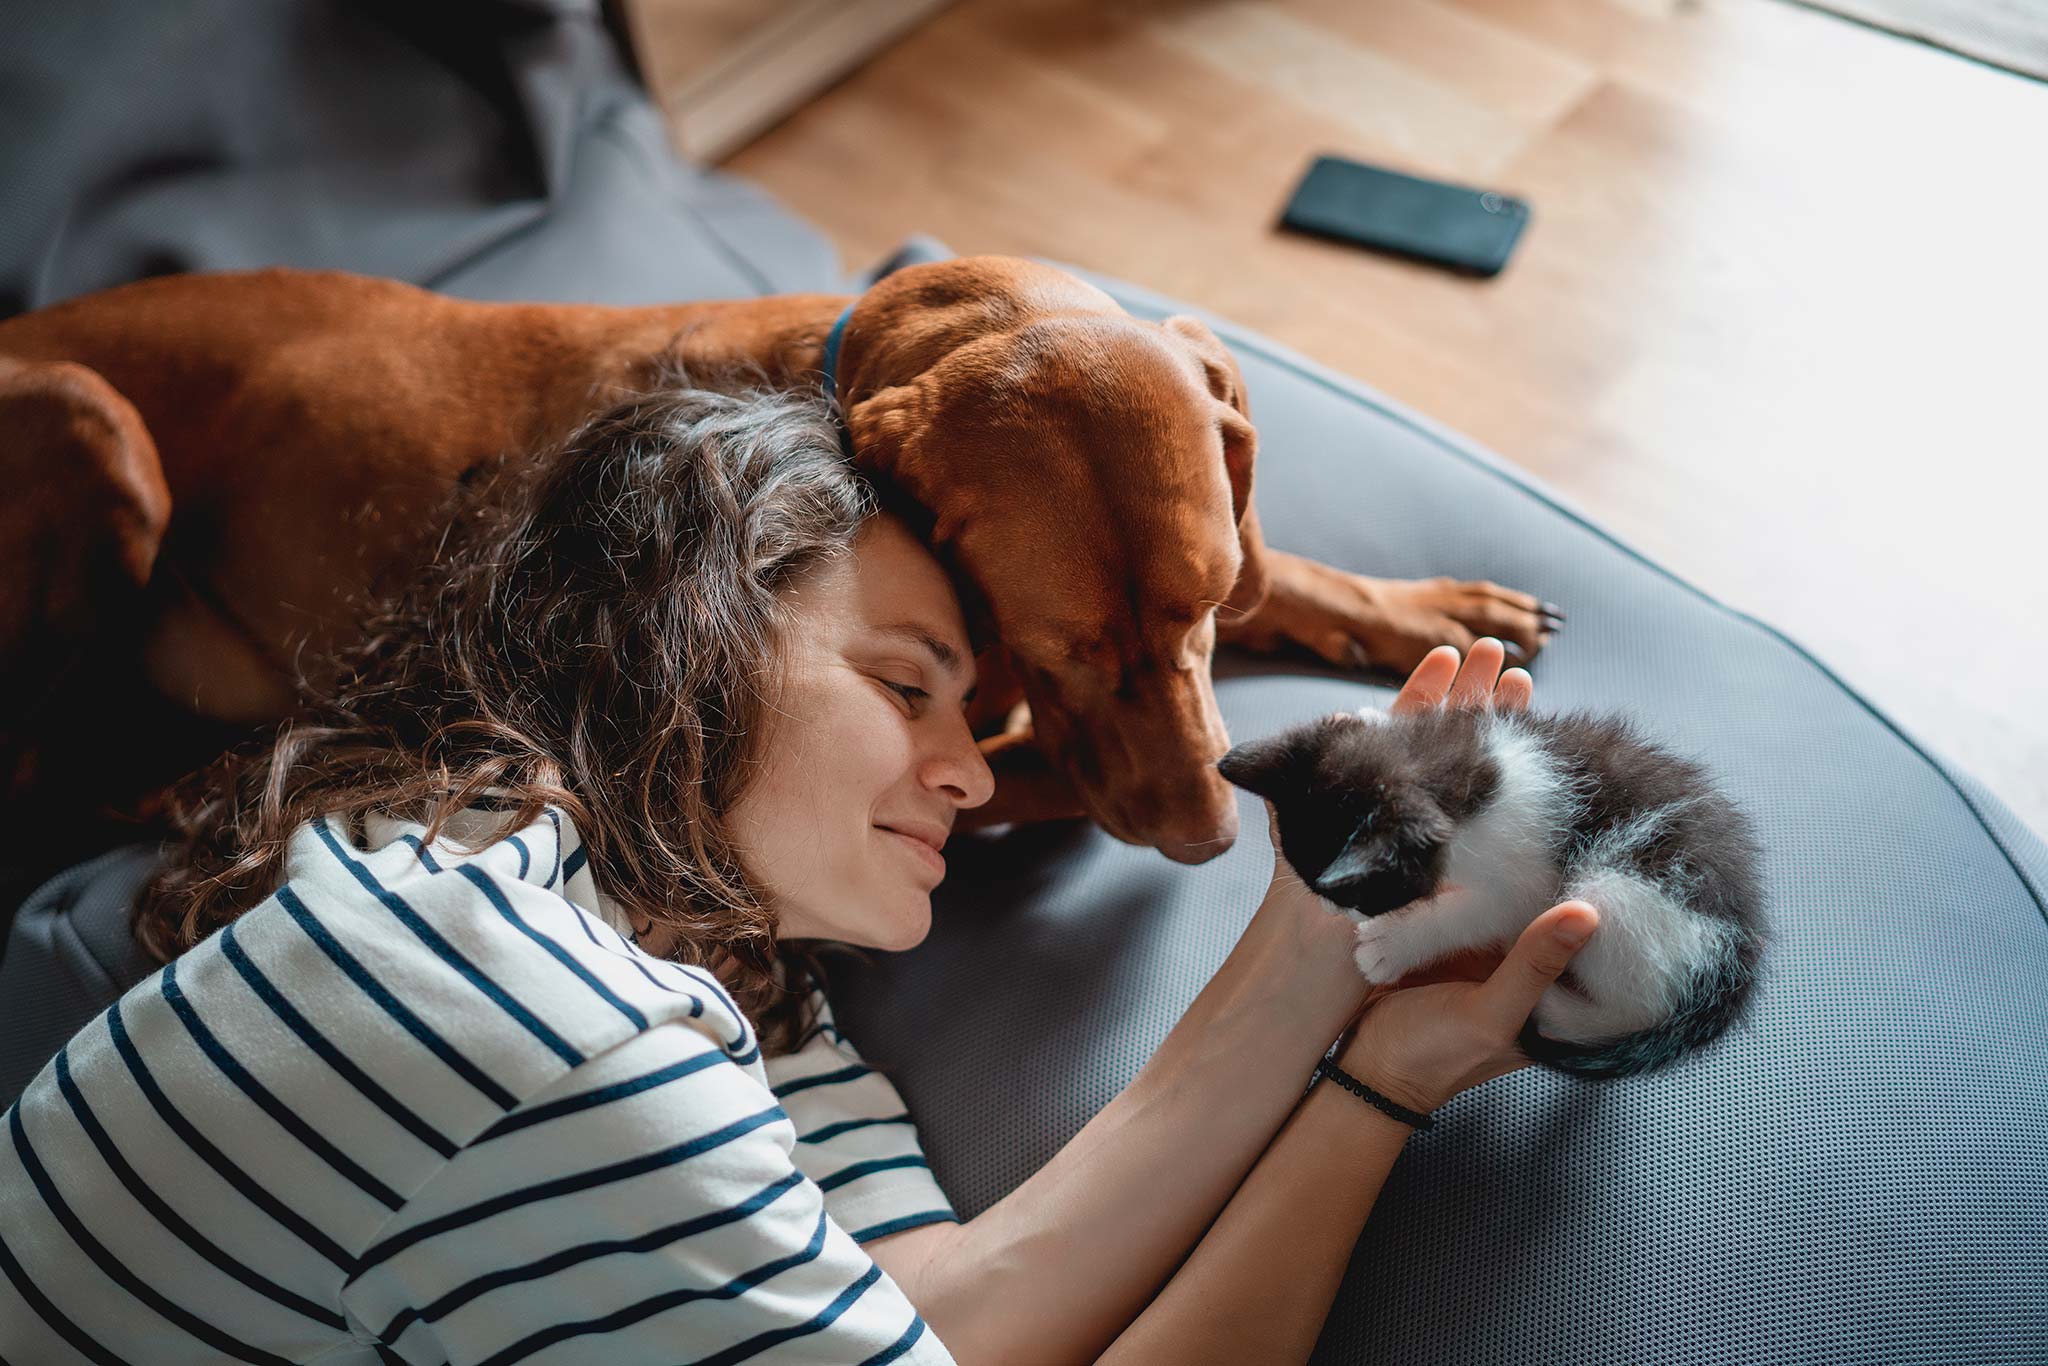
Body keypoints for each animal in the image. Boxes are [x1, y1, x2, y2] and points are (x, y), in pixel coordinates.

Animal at [0, 259, 1548, 864]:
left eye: (1207, 612)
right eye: (1062, 647)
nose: (1209, 841)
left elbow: (1298, 573)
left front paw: (1425, 601)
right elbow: (1025, 776)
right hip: (95, 423)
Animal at [1220, 704, 1769, 1081]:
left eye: (1363, 895)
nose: (1331, 907)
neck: (1464, 773)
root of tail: (1737, 966)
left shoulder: (1527, 879)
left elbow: (1481, 913)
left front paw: (1391, 945)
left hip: (1621, 892)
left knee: (1635, 1004)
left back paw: (1555, 1005)